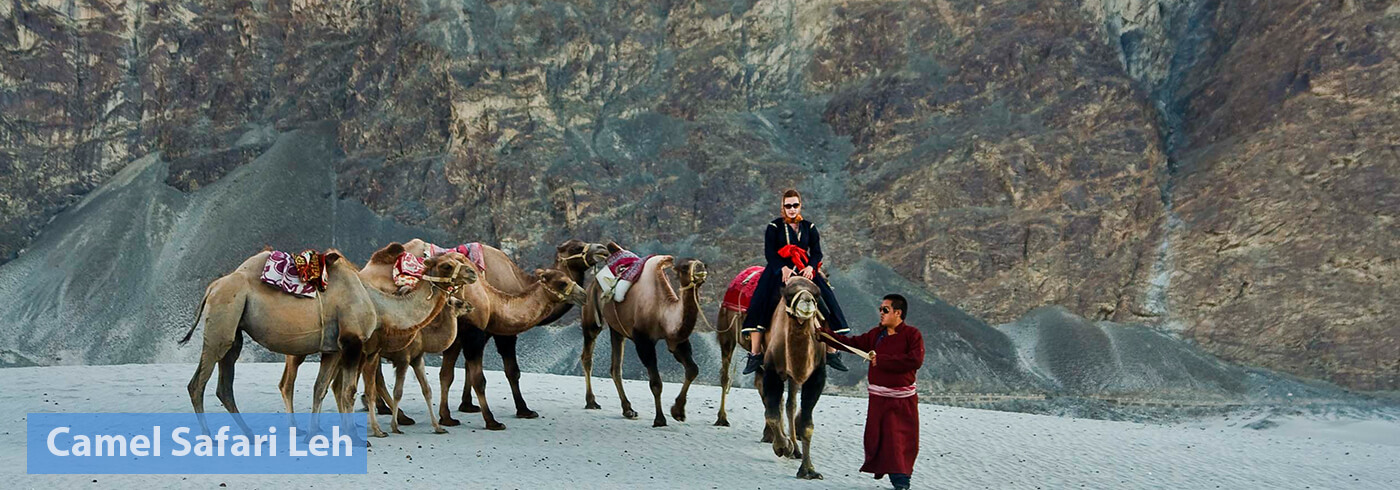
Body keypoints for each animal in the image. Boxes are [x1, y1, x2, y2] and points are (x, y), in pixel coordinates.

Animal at [173, 246, 470, 439]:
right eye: (446, 265)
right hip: (222, 321)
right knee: (197, 383)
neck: (375, 301)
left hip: (234, 331)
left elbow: (321, 389)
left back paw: (249, 434)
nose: (472, 272)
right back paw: (209, 437)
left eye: (460, 259)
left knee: (226, 384)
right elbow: (349, 391)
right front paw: (358, 437)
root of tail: (213, 287)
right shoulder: (352, 344)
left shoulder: (333, 349)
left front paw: (315, 433)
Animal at [579, 246, 711, 425]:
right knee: (588, 355)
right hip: (590, 314)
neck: (662, 309)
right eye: (684, 267)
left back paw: (628, 409)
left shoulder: (675, 339)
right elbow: (656, 383)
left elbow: (692, 369)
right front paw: (660, 420)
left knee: (615, 368)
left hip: (617, 329)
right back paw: (591, 402)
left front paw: (678, 411)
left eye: (702, 263)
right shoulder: (643, 340)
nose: (701, 269)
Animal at [761, 277, 823, 481]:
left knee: (790, 404)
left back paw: (796, 449)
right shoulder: (771, 370)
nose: (807, 301)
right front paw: (782, 446)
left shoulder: (817, 376)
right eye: (788, 295)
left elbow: (807, 425)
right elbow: (772, 414)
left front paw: (808, 469)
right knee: (779, 403)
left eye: (817, 294)